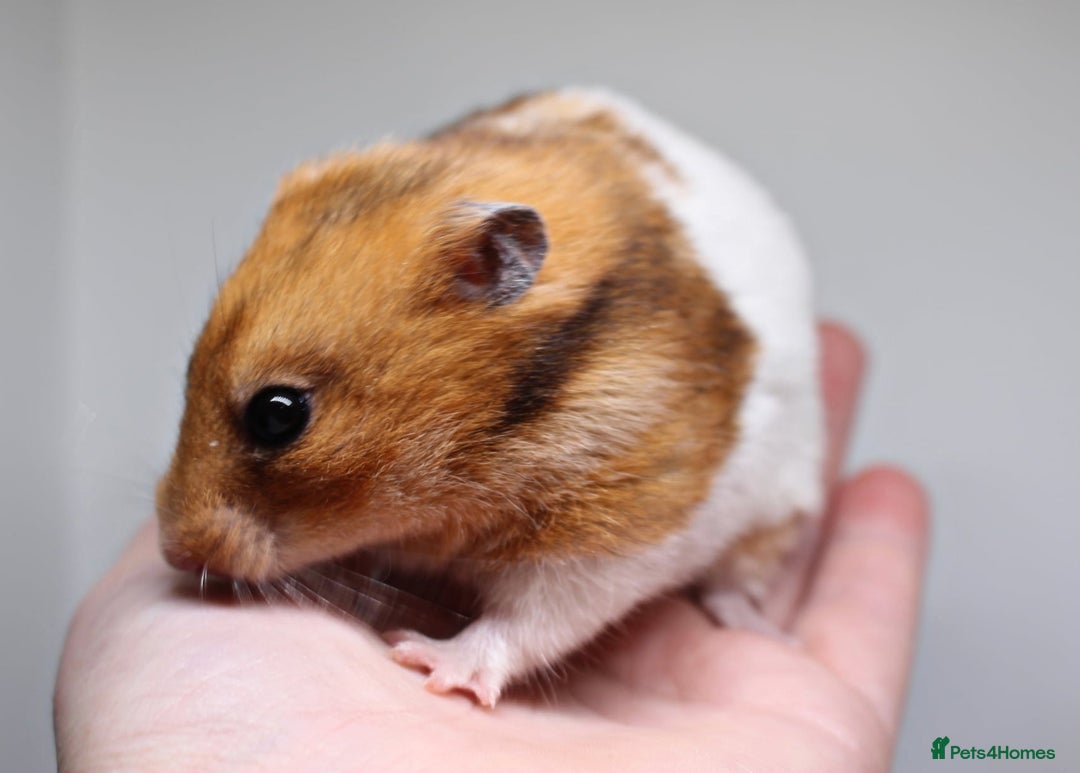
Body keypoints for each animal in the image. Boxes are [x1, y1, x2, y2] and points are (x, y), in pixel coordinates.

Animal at [156, 88, 824, 707]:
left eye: (277, 415)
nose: (174, 553)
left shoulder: (617, 530)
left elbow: (529, 621)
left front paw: (424, 660)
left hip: (777, 511)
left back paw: (764, 632)